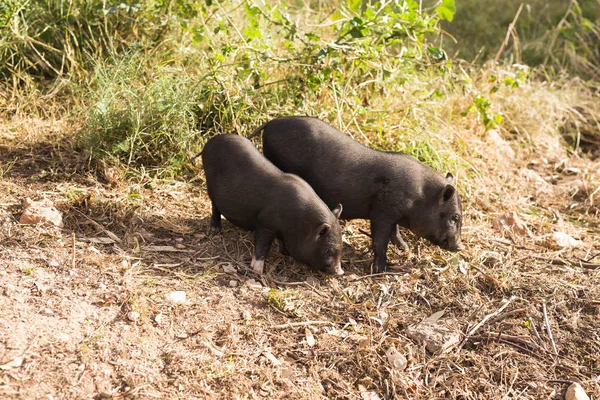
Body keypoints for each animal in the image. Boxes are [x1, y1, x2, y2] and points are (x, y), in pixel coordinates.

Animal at [202, 134, 342, 276]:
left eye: (341, 246)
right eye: (327, 250)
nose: (340, 271)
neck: (299, 223)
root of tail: (211, 142)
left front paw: (284, 252)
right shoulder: (265, 223)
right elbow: (262, 246)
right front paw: (258, 270)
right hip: (210, 186)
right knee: (215, 207)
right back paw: (214, 230)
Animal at [248, 115, 464, 272]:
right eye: (454, 217)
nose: (460, 247)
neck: (420, 196)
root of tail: (272, 123)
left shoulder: (392, 213)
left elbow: (395, 232)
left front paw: (405, 249)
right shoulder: (383, 211)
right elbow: (380, 239)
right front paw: (380, 270)